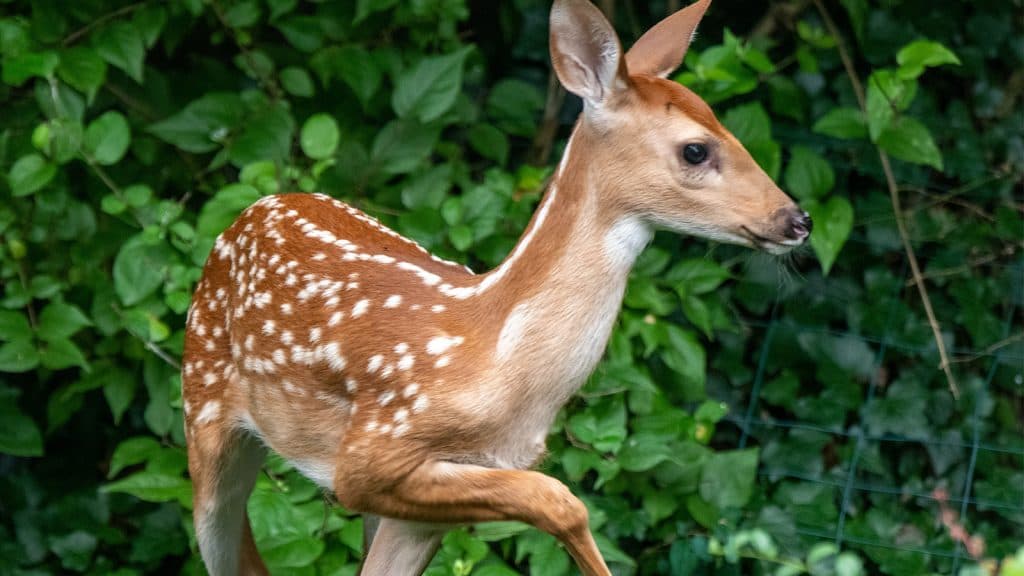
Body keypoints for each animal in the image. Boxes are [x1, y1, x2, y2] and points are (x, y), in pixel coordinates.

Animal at [180, 0, 811, 569]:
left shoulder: (438, 498)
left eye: (726, 124)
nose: (796, 219)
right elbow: (563, 501)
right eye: (696, 149)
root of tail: (252, 209)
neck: (498, 360)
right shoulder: (370, 455)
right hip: (203, 411)